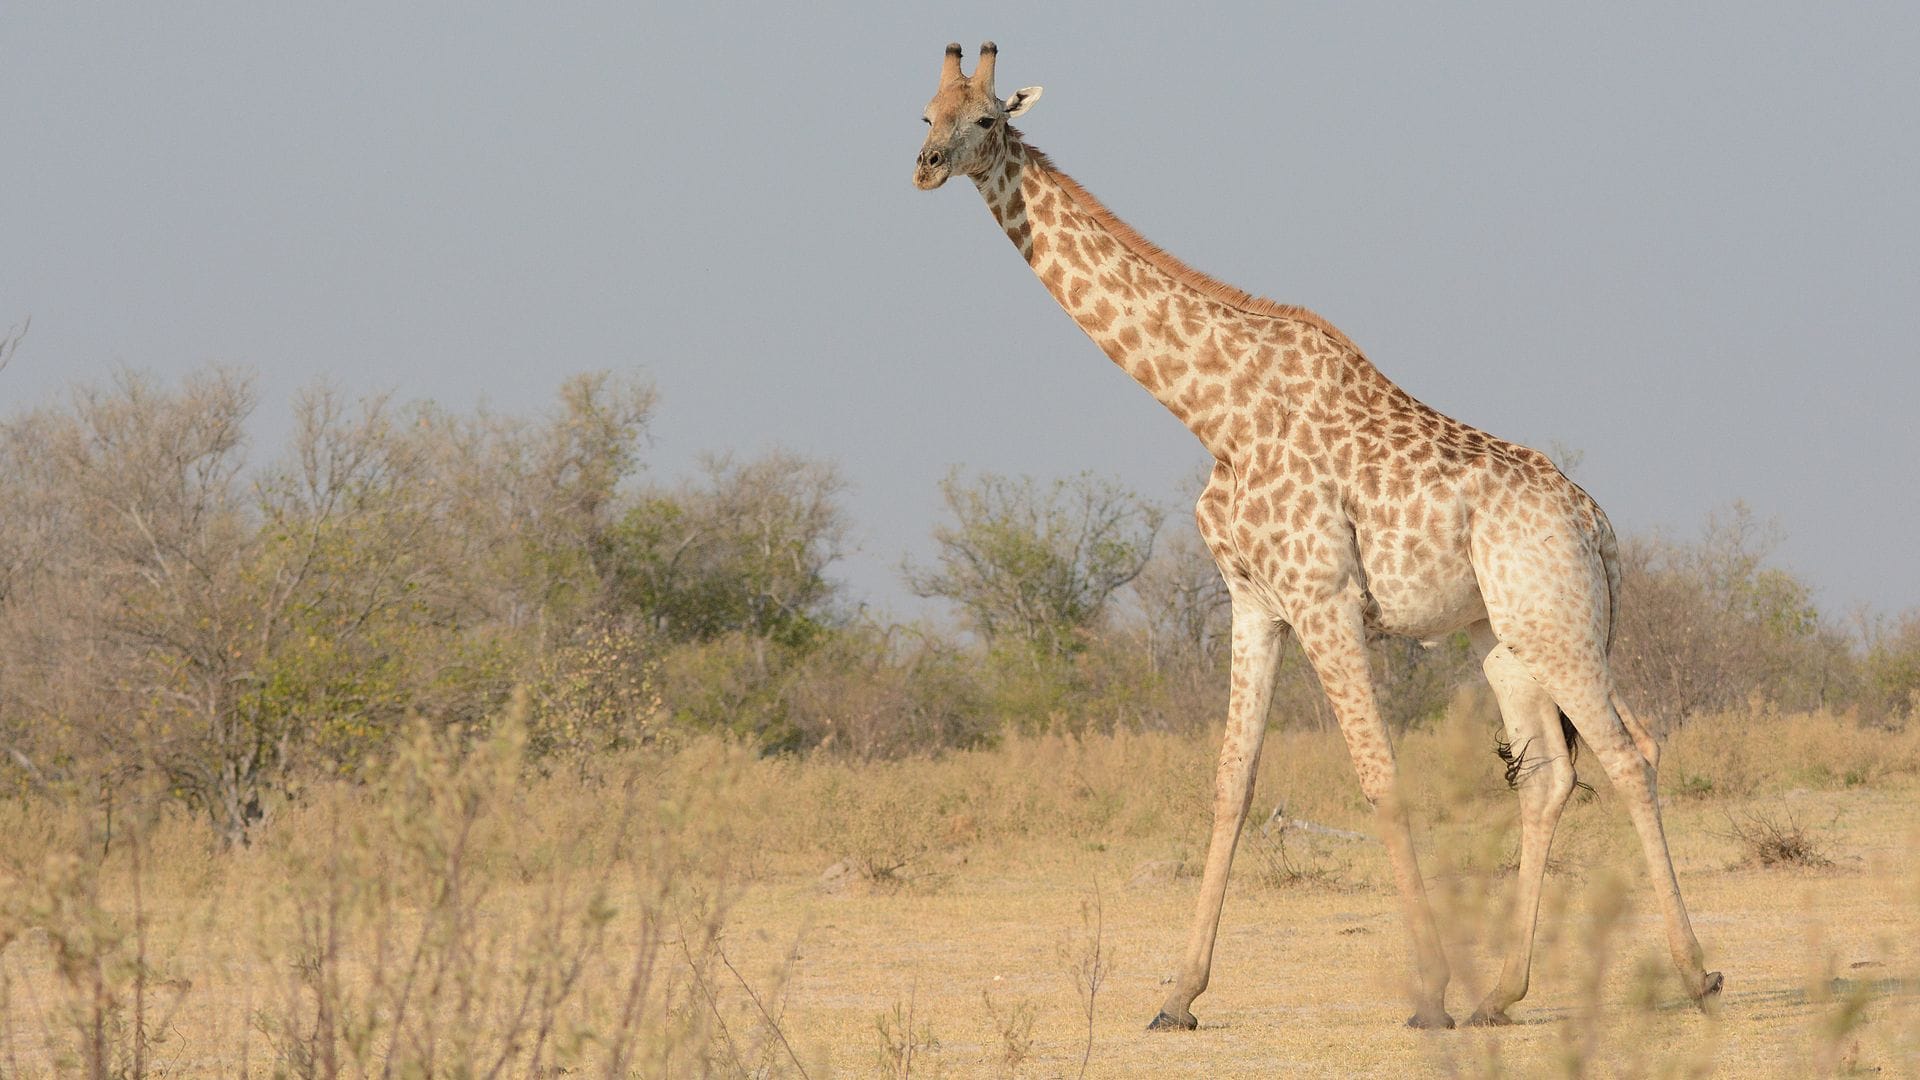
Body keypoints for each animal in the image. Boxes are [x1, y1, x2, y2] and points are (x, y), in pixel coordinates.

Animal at [912, 42, 1723, 1030]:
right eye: (925, 113)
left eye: (986, 118)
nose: (925, 167)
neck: (1212, 410)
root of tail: (1599, 526)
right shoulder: (1254, 600)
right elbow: (1232, 782)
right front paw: (1177, 996)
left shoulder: (1324, 596)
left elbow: (1380, 776)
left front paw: (1428, 994)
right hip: (1508, 638)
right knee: (1552, 775)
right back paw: (1503, 992)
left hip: (1557, 622)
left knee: (1629, 756)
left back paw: (1694, 975)